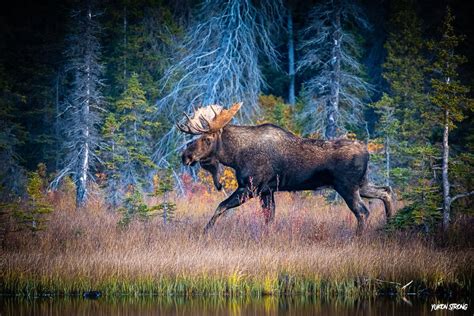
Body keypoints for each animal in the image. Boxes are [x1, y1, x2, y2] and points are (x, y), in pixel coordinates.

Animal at [177, 102, 392, 233]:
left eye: (207, 139)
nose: (185, 156)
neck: (236, 156)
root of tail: (366, 152)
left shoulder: (250, 188)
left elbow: (220, 206)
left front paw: (205, 232)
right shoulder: (267, 190)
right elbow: (269, 218)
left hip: (347, 186)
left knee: (363, 211)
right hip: (361, 184)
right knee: (386, 191)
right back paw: (390, 224)